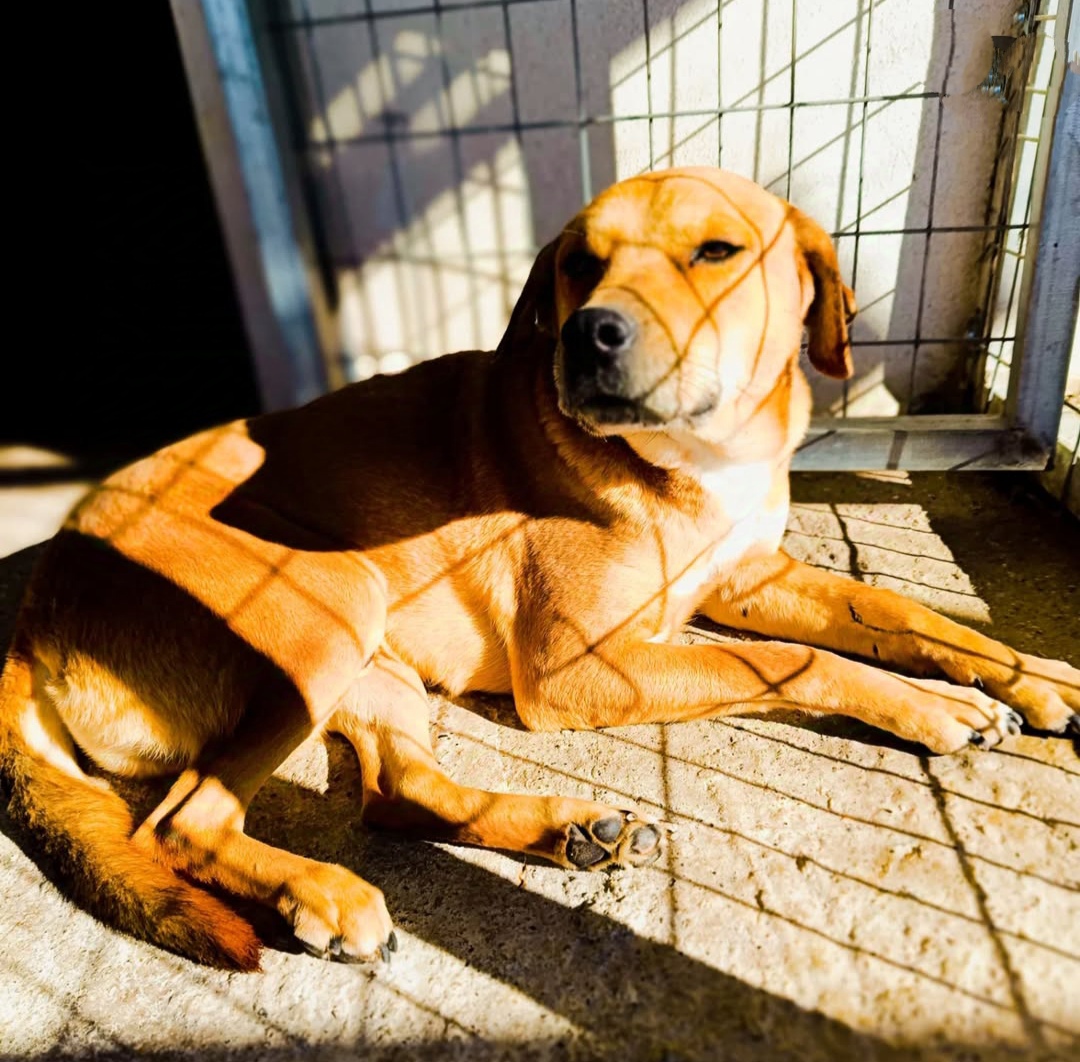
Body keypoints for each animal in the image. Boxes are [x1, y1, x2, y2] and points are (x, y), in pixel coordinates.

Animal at [2, 168, 1080, 972]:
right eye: (578, 263)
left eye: (717, 251)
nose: (587, 332)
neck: (696, 458)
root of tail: (36, 610)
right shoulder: (578, 670)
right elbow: (795, 663)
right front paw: (932, 707)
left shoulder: (747, 578)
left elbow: (897, 610)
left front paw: (1026, 673)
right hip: (330, 607)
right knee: (181, 823)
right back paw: (320, 890)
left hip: (370, 662)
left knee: (397, 795)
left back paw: (566, 831)